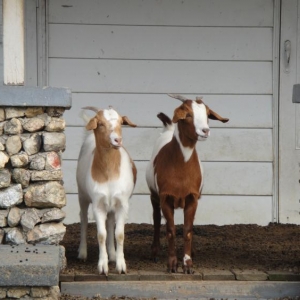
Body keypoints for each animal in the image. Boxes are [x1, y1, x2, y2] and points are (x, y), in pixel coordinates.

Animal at [75, 106, 137, 276]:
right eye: (101, 123)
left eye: (121, 122)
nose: (117, 140)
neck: (109, 173)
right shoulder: (98, 204)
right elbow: (101, 235)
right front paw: (102, 266)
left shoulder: (122, 203)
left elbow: (119, 234)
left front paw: (121, 265)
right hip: (82, 195)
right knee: (83, 219)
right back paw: (82, 253)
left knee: (110, 223)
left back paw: (113, 255)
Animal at [146, 94, 229, 274]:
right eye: (188, 114)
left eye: (207, 114)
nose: (205, 130)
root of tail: (169, 128)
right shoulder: (165, 197)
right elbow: (170, 230)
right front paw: (172, 265)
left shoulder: (193, 197)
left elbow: (188, 230)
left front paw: (188, 264)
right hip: (153, 195)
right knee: (156, 219)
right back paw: (154, 253)